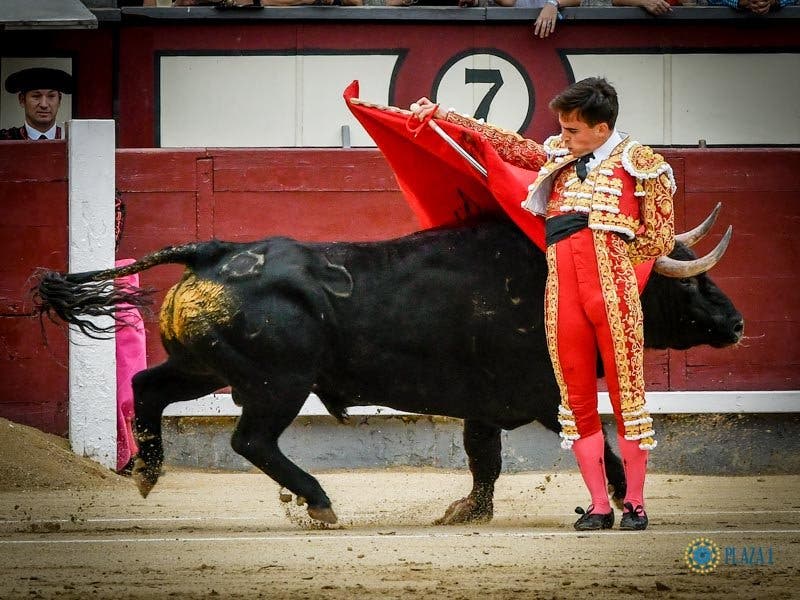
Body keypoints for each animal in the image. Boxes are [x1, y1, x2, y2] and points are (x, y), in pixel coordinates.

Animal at [32, 219, 744, 524]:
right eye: (691, 282)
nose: (736, 324)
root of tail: (216, 249)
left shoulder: (485, 405)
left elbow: (483, 457)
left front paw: (467, 512)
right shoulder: (549, 395)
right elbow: (605, 448)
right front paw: (625, 504)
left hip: (202, 367)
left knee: (146, 387)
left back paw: (147, 472)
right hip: (276, 384)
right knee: (251, 440)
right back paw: (319, 502)